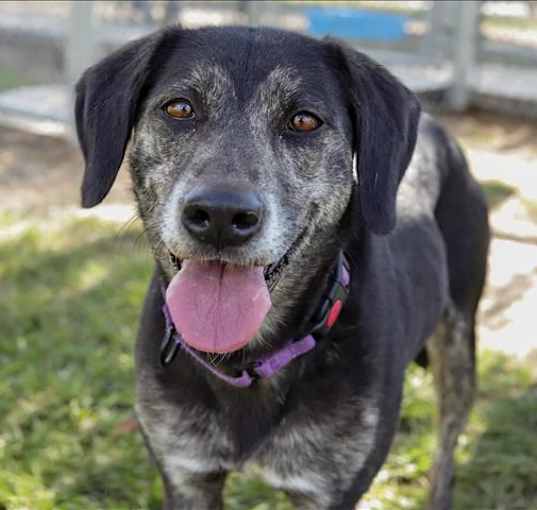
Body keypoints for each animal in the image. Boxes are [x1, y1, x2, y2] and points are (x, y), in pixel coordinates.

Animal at [74, 24, 490, 510]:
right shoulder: (187, 473)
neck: (246, 360)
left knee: (445, 447)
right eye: (179, 108)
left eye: (304, 121)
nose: (221, 215)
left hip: (459, 345)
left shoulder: (330, 491)